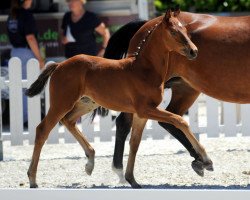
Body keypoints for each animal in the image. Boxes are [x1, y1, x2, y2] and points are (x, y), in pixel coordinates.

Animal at [25, 10, 202, 188]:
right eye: (173, 32)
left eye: (185, 30)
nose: (194, 51)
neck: (145, 69)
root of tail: (59, 65)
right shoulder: (145, 109)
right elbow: (180, 120)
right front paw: (204, 158)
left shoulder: (142, 114)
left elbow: (135, 143)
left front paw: (132, 179)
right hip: (61, 103)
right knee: (42, 129)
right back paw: (32, 179)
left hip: (86, 103)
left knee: (68, 121)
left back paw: (90, 161)